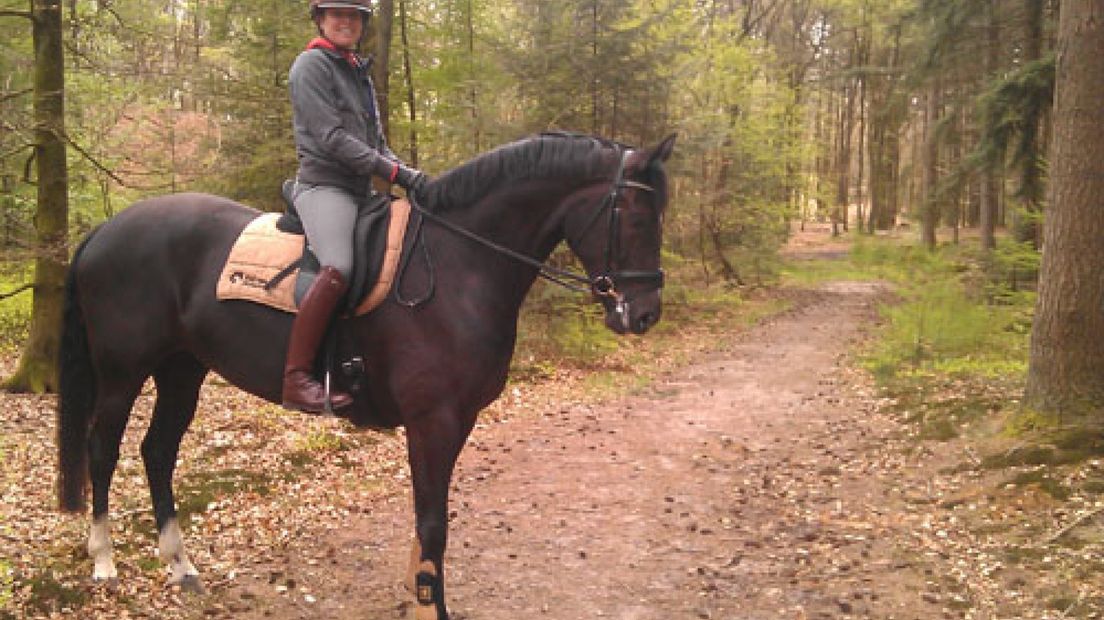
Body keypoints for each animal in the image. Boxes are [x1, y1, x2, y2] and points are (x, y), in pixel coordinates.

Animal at [56, 131, 675, 617]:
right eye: (635, 215)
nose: (644, 313)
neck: (458, 265)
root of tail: (106, 230)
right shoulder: (433, 421)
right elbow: (434, 522)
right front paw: (429, 604)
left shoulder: (455, 422)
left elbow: (430, 516)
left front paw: (419, 589)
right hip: (122, 372)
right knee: (102, 451)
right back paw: (104, 561)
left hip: (182, 369)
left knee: (158, 452)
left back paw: (181, 566)